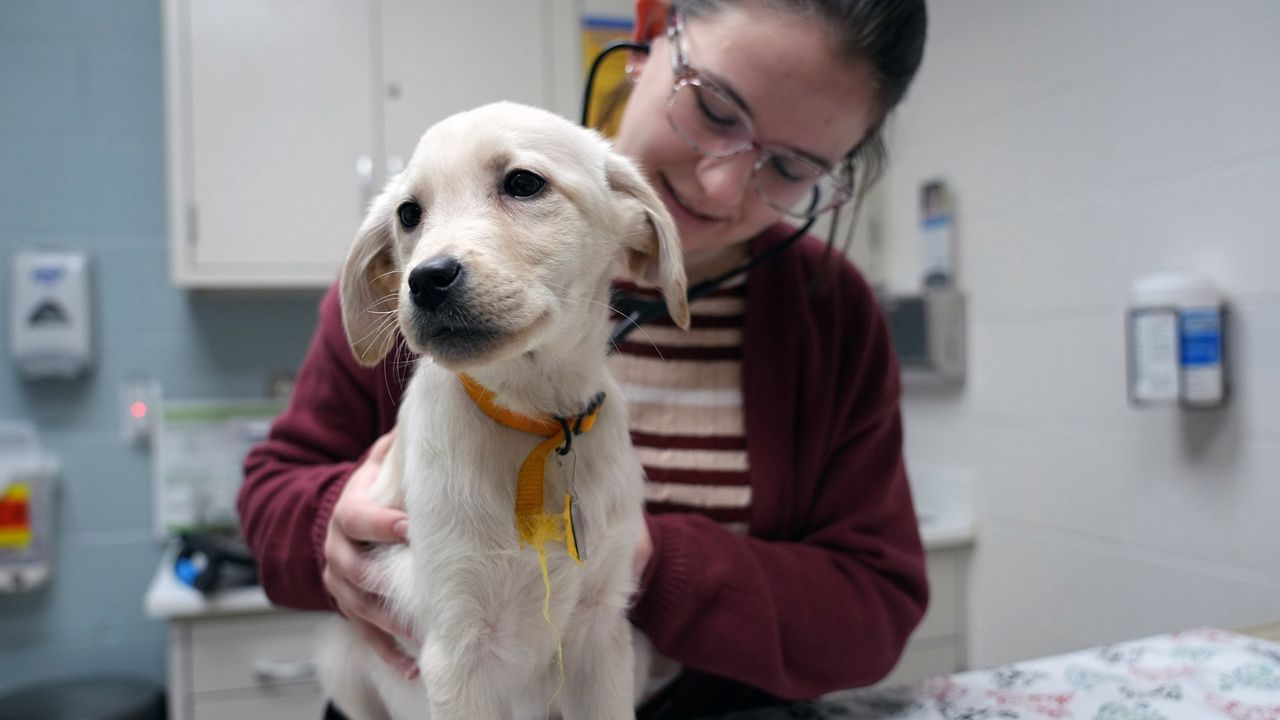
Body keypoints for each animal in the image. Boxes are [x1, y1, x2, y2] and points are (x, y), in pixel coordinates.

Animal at [317, 102, 691, 717]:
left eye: (523, 183)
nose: (426, 279)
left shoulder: (602, 634)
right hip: (342, 655)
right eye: (408, 214)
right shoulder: (457, 650)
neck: (538, 422)